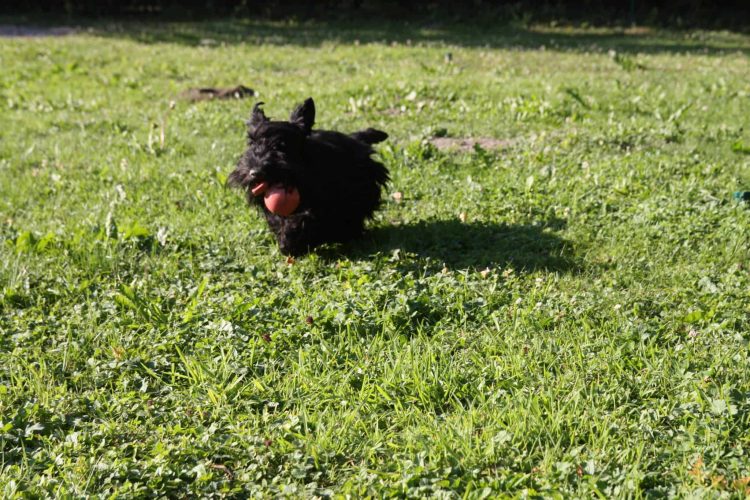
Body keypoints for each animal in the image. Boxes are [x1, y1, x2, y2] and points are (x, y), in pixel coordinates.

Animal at [229, 97, 389, 256]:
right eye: (251, 142)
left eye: (281, 145)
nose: (255, 172)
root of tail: (354, 139)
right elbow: (278, 219)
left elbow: (310, 217)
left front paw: (293, 240)